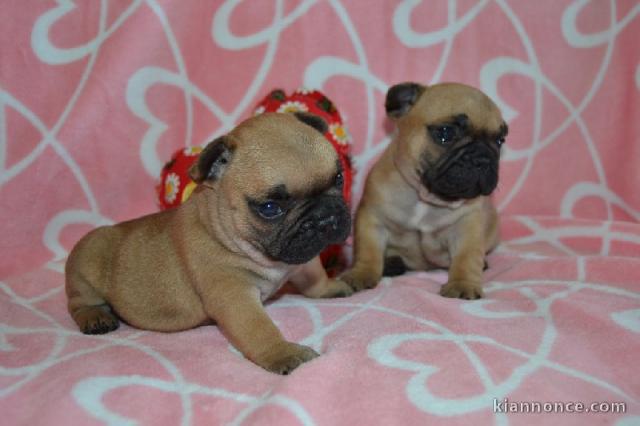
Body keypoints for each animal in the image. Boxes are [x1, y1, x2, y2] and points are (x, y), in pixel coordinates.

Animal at [67, 110, 352, 372]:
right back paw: (96, 317)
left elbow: (314, 277)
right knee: (78, 302)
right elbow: (258, 329)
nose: (325, 216)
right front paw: (284, 353)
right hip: (87, 265)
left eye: (339, 178)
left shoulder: (301, 259)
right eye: (270, 208)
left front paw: (330, 287)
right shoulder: (233, 295)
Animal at [342, 81, 508, 298]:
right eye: (446, 133)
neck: (427, 199)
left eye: (499, 141)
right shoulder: (372, 219)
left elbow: (467, 258)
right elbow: (367, 251)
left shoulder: (467, 227)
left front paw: (463, 284)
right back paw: (391, 264)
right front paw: (360, 274)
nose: (483, 158)